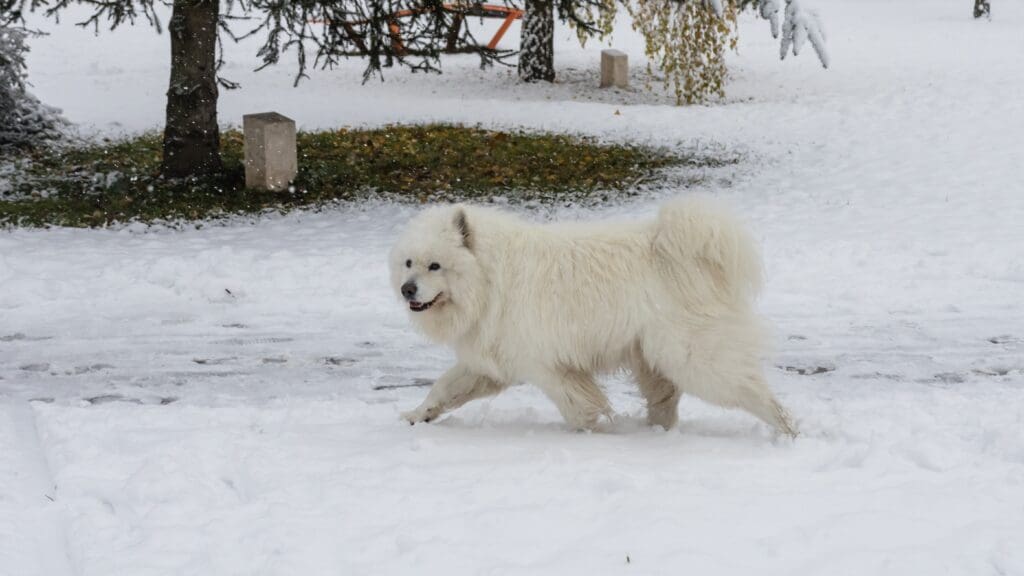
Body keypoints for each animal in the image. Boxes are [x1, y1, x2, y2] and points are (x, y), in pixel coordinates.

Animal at [387, 196, 794, 434]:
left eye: (435, 265)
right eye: (408, 263)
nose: (407, 289)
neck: (489, 279)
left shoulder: (546, 364)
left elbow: (577, 406)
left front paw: (589, 433)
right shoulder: (492, 361)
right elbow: (444, 388)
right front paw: (417, 415)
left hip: (693, 357)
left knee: (752, 392)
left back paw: (787, 430)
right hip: (653, 358)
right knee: (665, 401)